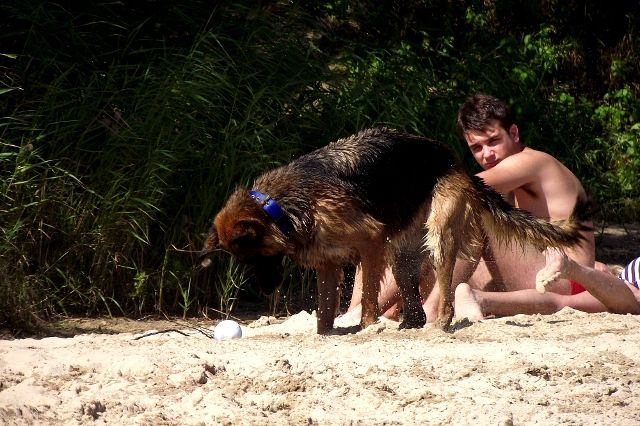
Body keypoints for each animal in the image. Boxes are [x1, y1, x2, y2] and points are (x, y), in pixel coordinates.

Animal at [200, 127, 590, 334]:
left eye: (257, 257)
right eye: (246, 261)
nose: (268, 291)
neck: (280, 205)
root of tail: (456, 162)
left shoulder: (370, 242)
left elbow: (368, 300)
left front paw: (367, 327)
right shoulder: (328, 264)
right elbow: (325, 312)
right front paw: (325, 333)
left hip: (438, 236)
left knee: (444, 290)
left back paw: (439, 324)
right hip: (403, 255)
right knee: (413, 302)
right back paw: (408, 327)